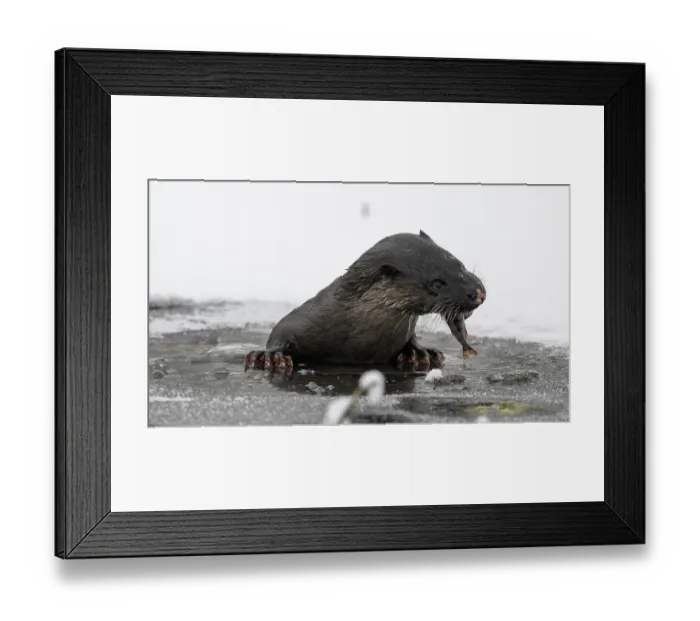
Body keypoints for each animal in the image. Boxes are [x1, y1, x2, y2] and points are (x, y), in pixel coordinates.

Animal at [244, 230, 486, 372]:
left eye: (459, 264)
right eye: (437, 283)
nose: (478, 293)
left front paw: (419, 352)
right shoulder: (306, 316)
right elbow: (280, 328)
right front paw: (271, 356)